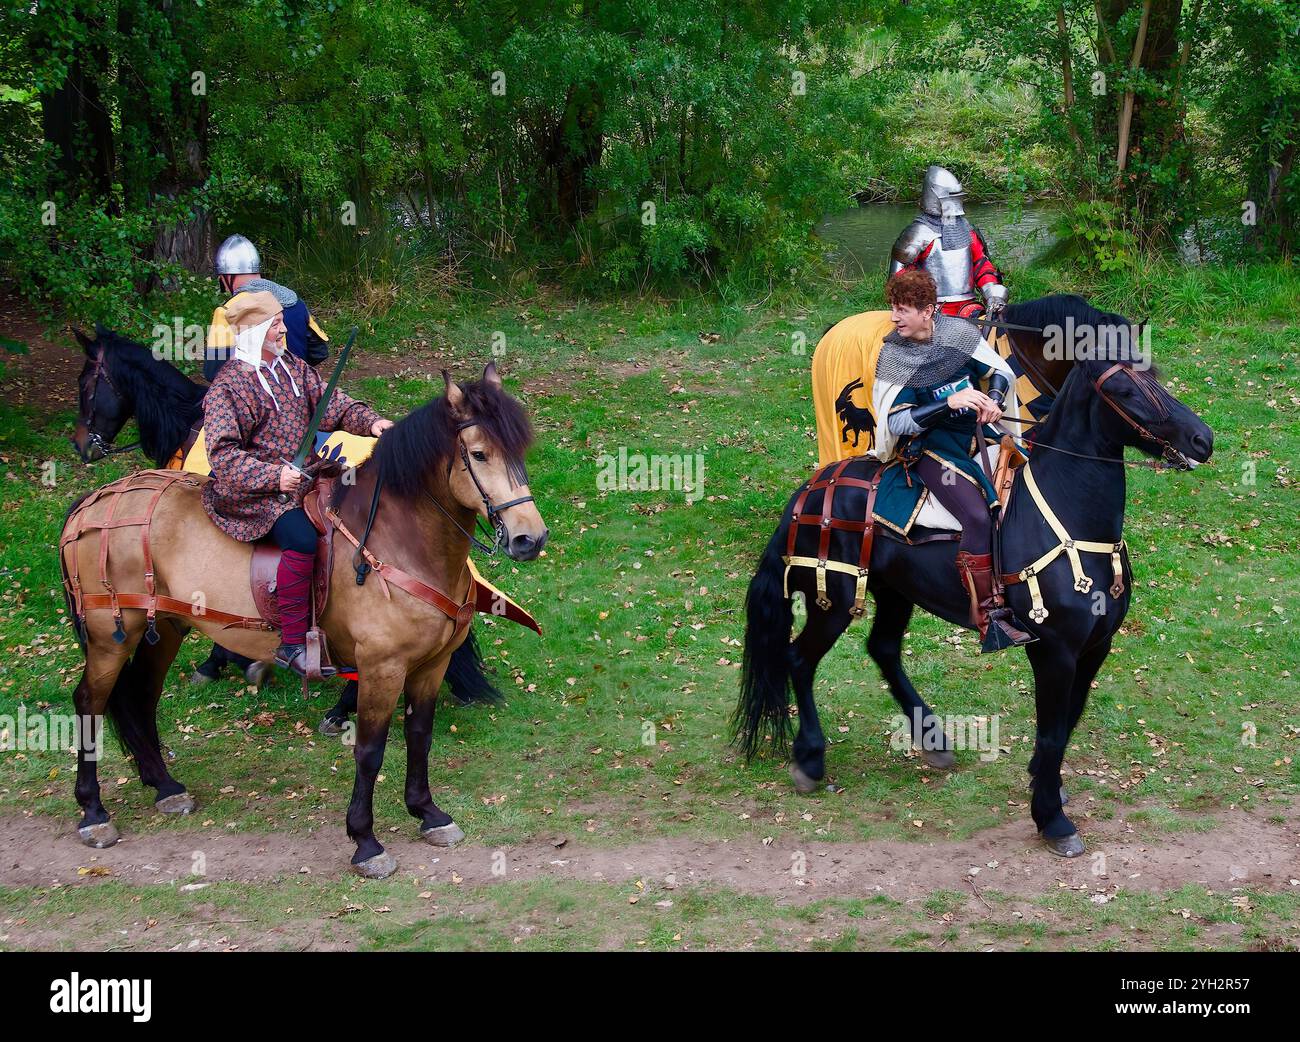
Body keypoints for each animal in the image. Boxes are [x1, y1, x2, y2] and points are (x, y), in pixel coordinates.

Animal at [62, 366, 548, 878]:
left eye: (519, 451)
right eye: (478, 453)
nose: (530, 539)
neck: (398, 541)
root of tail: (90, 503)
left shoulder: (430, 667)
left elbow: (420, 737)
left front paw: (427, 812)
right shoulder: (382, 668)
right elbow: (370, 751)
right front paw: (365, 840)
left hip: (165, 631)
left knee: (141, 695)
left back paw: (165, 787)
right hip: (110, 637)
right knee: (89, 702)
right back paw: (93, 811)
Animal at [738, 292, 1211, 852]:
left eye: (1153, 373)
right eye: (1122, 388)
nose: (1201, 440)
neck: (1071, 514)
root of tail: (809, 492)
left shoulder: (1095, 646)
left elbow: (1069, 721)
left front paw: (1044, 785)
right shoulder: (1054, 651)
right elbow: (1053, 728)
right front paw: (1051, 817)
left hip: (895, 591)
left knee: (882, 649)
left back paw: (932, 738)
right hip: (830, 599)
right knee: (798, 659)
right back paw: (810, 758)